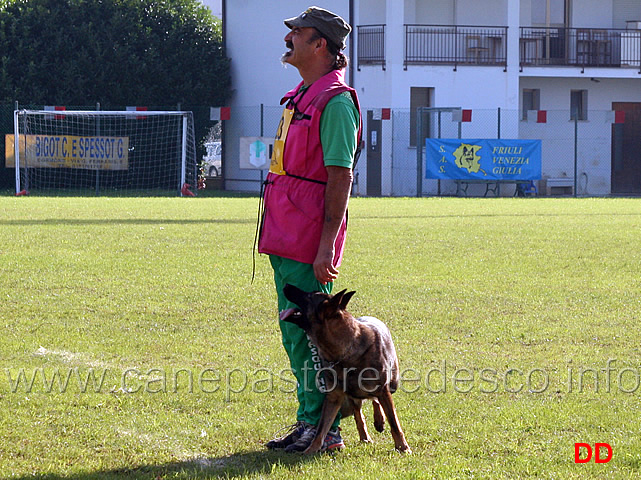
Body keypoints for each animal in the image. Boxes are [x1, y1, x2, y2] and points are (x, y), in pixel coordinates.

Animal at [278, 284, 410, 456]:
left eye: (309, 295)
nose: (286, 285)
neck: (344, 352)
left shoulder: (383, 390)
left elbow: (394, 422)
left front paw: (402, 447)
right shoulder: (333, 398)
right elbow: (321, 429)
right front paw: (310, 450)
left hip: (391, 385)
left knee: (376, 400)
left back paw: (379, 421)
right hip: (353, 397)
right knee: (359, 413)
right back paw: (365, 436)